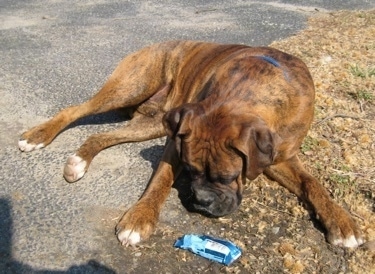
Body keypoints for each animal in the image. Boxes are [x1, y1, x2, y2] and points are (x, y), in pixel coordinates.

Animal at [18, 40, 364, 248]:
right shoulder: (176, 140)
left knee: (99, 135)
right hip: (132, 86)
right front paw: (139, 218)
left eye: (228, 177)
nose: (201, 200)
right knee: (75, 110)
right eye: (190, 169)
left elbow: (312, 184)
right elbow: (159, 181)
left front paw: (341, 221)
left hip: (151, 123)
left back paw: (78, 162)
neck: (255, 85)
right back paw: (37, 136)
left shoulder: (280, 158)